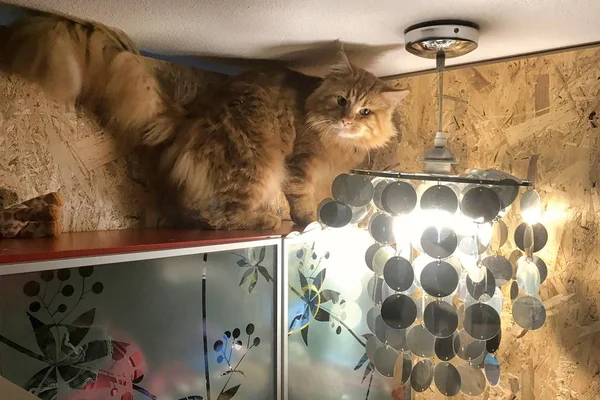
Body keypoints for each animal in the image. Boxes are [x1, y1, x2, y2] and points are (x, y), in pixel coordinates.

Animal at [0, 10, 410, 230]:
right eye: (342, 101)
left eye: (366, 111)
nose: (347, 120)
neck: (337, 143)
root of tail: (188, 116)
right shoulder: (299, 167)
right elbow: (302, 201)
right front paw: (309, 223)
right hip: (255, 165)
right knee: (220, 218)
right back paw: (265, 219)